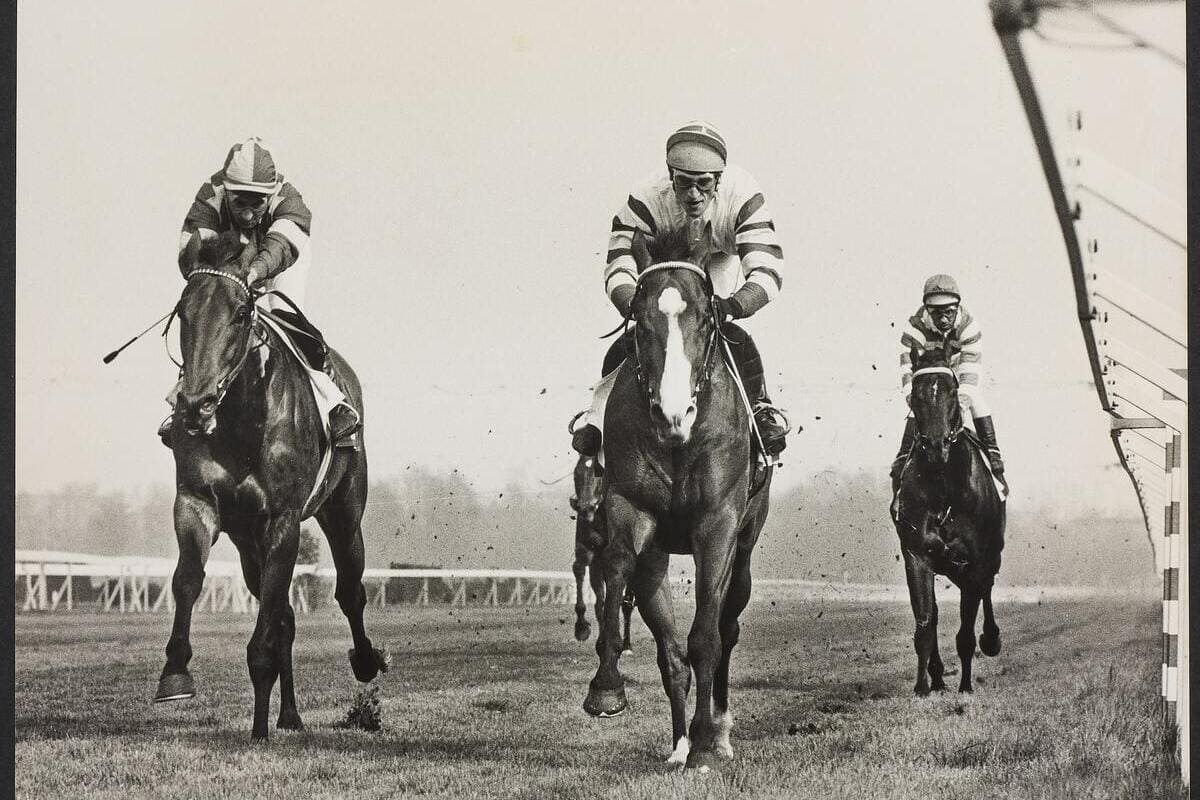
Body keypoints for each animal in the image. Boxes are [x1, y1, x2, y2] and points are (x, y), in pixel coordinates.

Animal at [154, 230, 386, 738]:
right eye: (183, 311)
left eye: (242, 312)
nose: (195, 405)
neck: (243, 423)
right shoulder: (196, 503)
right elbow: (188, 579)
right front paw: (175, 673)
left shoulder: (283, 518)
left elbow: (275, 620)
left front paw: (259, 726)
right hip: (247, 543)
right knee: (285, 615)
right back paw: (287, 715)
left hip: (344, 511)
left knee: (348, 590)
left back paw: (363, 662)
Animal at [583, 230, 772, 767]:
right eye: (640, 322)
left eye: (706, 318)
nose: (673, 414)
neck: (676, 442)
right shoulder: (631, 511)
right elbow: (617, 575)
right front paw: (606, 688)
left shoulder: (717, 525)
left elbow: (706, 637)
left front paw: (707, 743)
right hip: (659, 556)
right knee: (670, 652)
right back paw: (679, 743)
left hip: (744, 547)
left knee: (727, 627)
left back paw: (715, 733)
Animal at [892, 340, 1003, 695]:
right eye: (915, 394)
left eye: (952, 391)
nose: (936, 445)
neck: (944, 489)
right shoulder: (917, 557)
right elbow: (926, 624)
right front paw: (922, 686)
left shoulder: (975, 563)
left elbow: (966, 634)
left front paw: (966, 686)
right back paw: (938, 676)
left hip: (988, 560)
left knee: (987, 590)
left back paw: (991, 639)